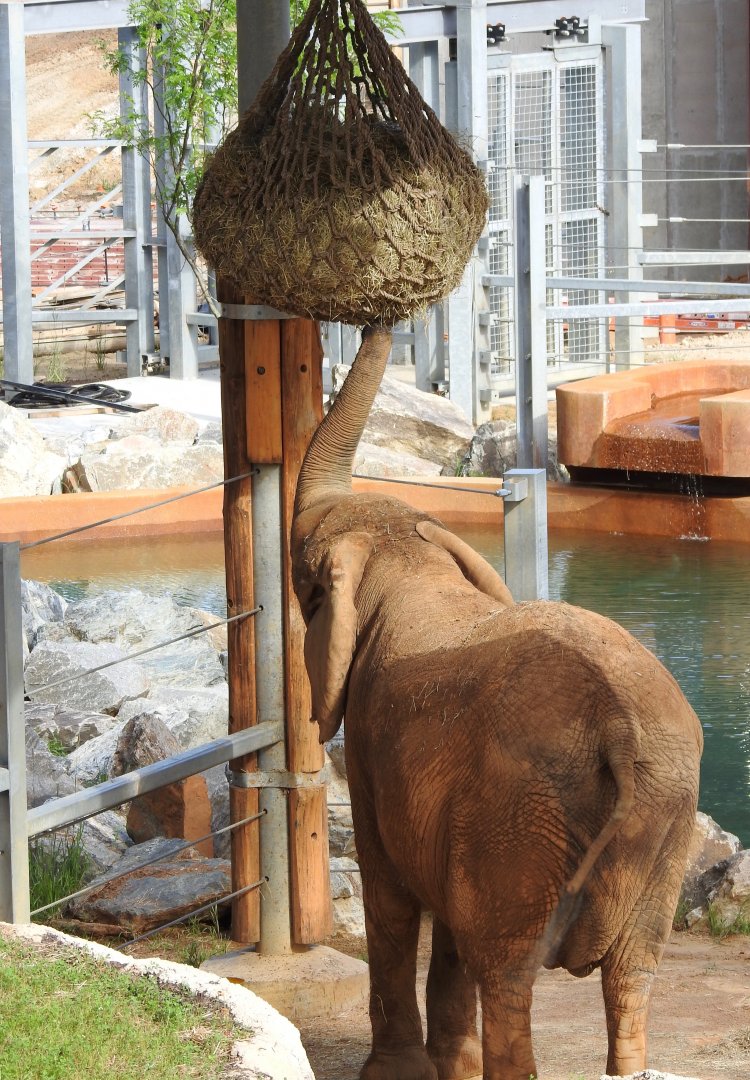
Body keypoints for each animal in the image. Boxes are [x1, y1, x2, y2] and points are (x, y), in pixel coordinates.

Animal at [291, 326, 703, 1080]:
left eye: (304, 580)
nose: (375, 323)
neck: (407, 560)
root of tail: (626, 737)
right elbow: (446, 925)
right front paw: (444, 1067)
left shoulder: (368, 743)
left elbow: (390, 898)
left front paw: (396, 1075)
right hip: (660, 828)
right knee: (631, 975)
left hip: (521, 817)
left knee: (506, 976)